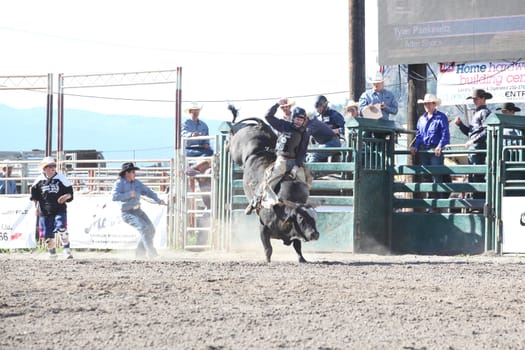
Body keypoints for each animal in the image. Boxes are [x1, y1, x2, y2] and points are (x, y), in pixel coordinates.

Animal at [226, 117, 320, 262]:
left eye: (315, 218)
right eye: (301, 218)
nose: (315, 234)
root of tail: (261, 126)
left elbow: (297, 245)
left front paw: (302, 259)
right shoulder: (263, 227)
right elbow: (268, 248)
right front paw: (268, 260)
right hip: (237, 149)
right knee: (232, 144)